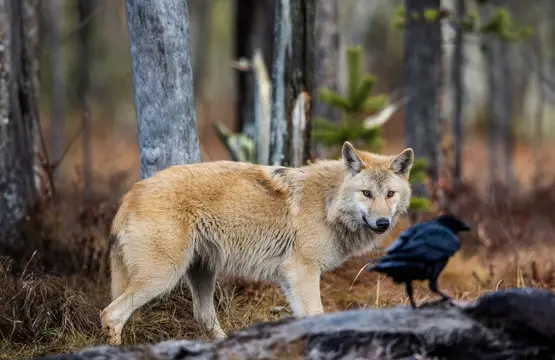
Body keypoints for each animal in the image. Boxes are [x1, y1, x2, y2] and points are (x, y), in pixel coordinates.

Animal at [100, 140, 414, 344]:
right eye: (366, 193)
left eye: (389, 194)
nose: (383, 223)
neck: (329, 204)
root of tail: (131, 194)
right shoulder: (302, 273)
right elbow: (315, 315)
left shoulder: (290, 279)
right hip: (162, 278)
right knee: (111, 314)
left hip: (202, 274)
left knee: (204, 319)